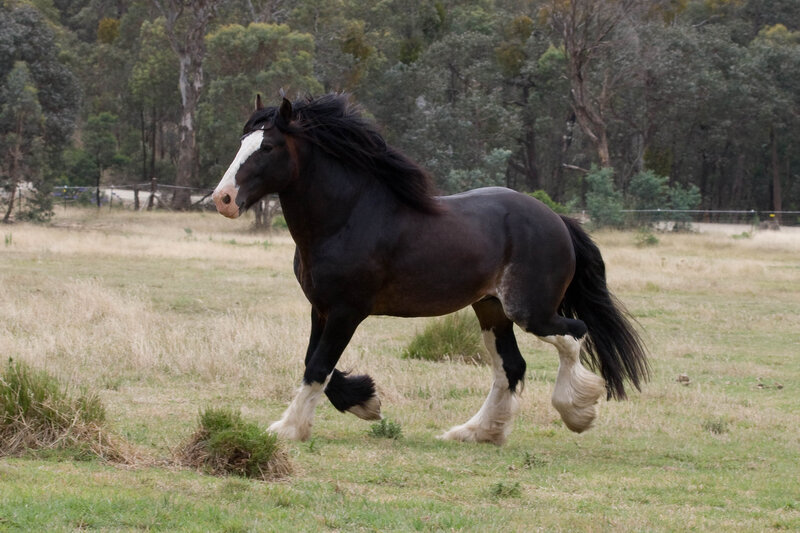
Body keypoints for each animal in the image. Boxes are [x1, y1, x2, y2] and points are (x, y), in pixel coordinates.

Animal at [211, 93, 649, 445]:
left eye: (268, 146)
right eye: (241, 143)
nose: (223, 199)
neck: (348, 218)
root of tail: (557, 219)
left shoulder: (347, 311)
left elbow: (318, 365)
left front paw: (288, 428)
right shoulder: (321, 308)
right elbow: (314, 363)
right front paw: (365, 401)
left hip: (531, 312)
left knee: (573, 334)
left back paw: (576, 412)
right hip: (491, 309)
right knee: (510, 367)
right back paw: (476, 432)